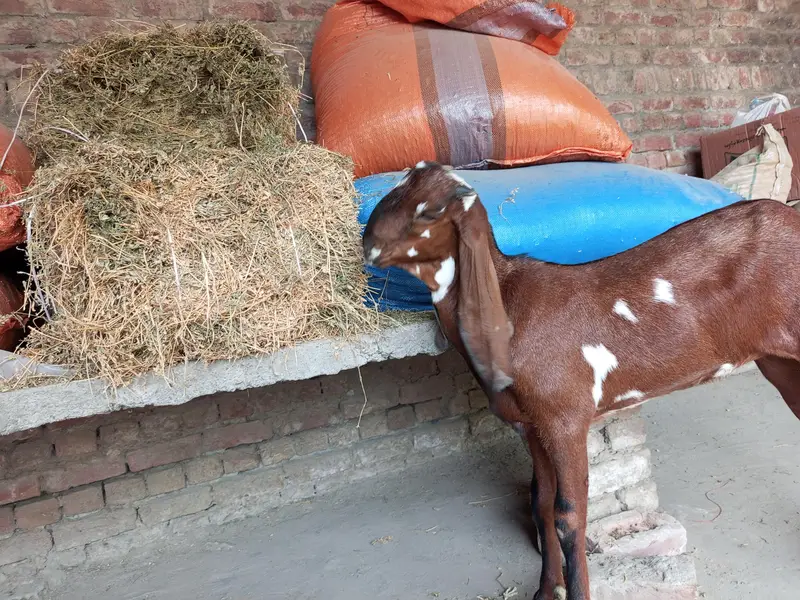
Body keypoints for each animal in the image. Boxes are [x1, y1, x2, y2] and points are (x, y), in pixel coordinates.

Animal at [362, 161, 800, 600]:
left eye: (431, 211)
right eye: (396, 186)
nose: (367, 243)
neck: (509, 303)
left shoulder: (566, 418)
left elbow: (568, 515)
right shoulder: (530, 425)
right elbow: (540, 503)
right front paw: (545, 590)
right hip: (779, 361)